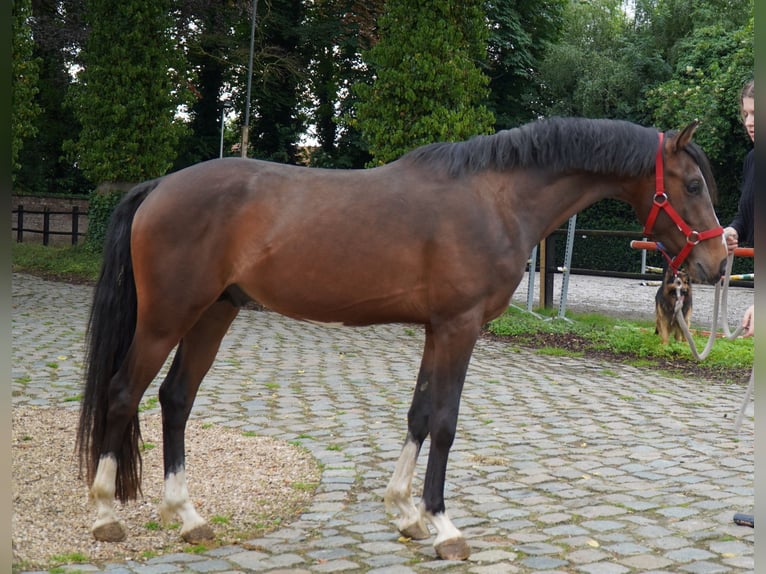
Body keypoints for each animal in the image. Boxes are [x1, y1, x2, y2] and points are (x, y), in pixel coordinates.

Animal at [78, 117, 728, 564]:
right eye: (694, 183)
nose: (718, 263)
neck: (495, 199)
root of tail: (159, 186)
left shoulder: (438, 329)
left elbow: (418, 414)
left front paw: (406, 514)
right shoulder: (460, 327)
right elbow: (444, 422)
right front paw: (444, 527)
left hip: (214, 313)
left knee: (175, 399)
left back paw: (187, 517)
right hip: (167, 318)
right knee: (123, 392)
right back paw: (106, 514)